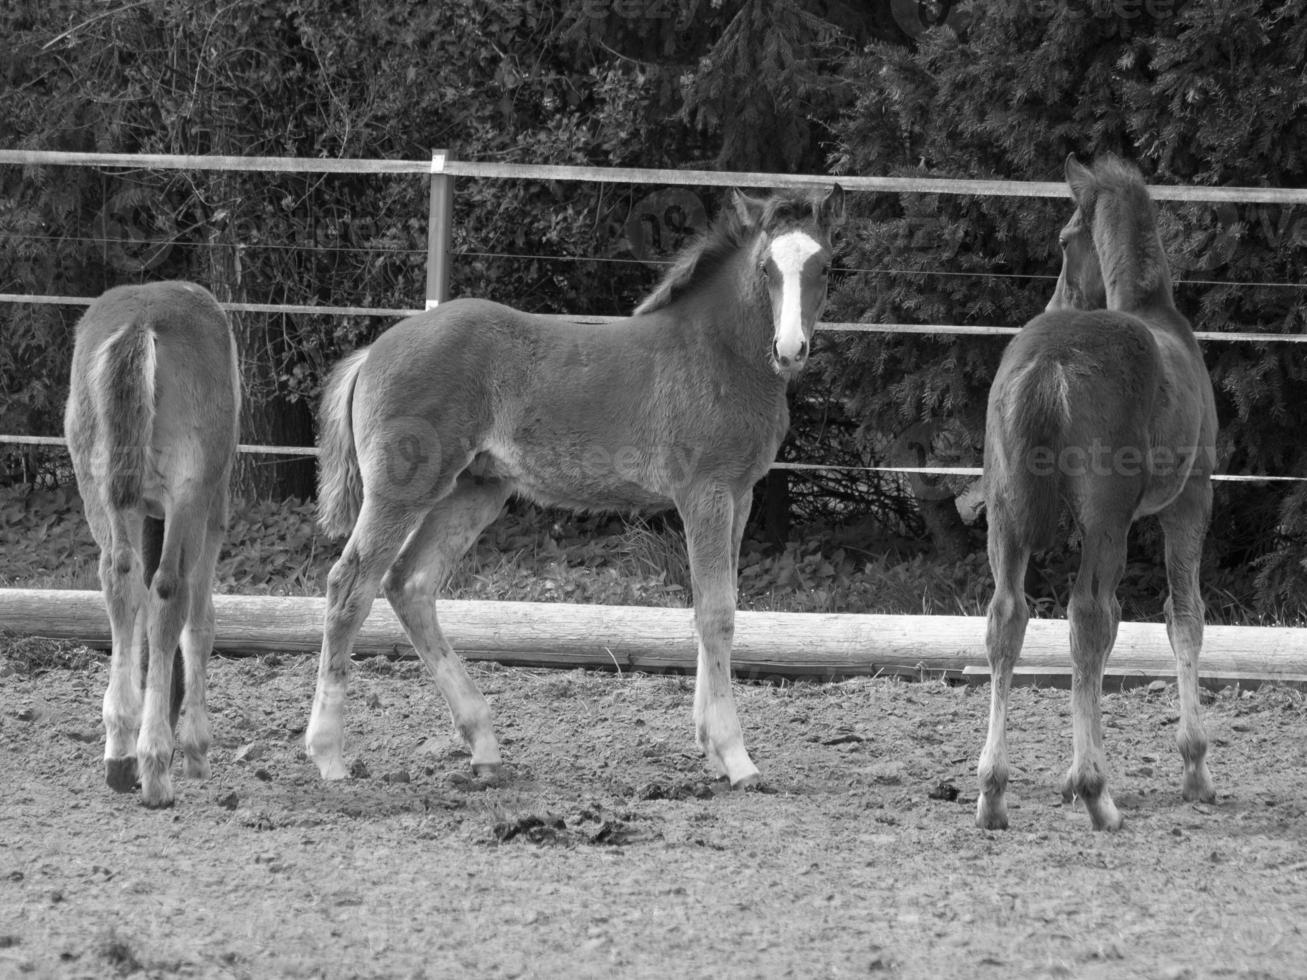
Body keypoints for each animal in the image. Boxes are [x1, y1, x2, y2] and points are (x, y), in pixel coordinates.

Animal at [65, 279, 243, 810]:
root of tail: (141, 324)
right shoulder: (211, 513)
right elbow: (199, 626)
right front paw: (195, 749)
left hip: (100, 492)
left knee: (120, 579)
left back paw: (121, 752)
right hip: (190, 497)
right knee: (168, 594)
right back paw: (156, 764)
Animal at [301, 184, 841, 789]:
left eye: (825, 266)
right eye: (767, 267)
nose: (790, 349)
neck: (719, 353)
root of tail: (372, 351)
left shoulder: (740, 494)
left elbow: (716, 605)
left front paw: (710, 744)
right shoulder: (704, 493)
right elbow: (716, 612)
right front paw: (735, 756)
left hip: (475, 489)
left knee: (410, 584)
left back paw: (484, 747)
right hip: (403, 490)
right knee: (349, 585)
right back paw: (329, 755)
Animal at [977, 157, 1218, 831]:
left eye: (1063, 242)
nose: (1056, 296)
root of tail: (1049, 361)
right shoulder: (1189, 502)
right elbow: (1183, 618)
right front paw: (1195, 768)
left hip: (1007, 511)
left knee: (1009, 616)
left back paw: (993, 793)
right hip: (1108, 517)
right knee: (1087, 615)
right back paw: (1097, 795)